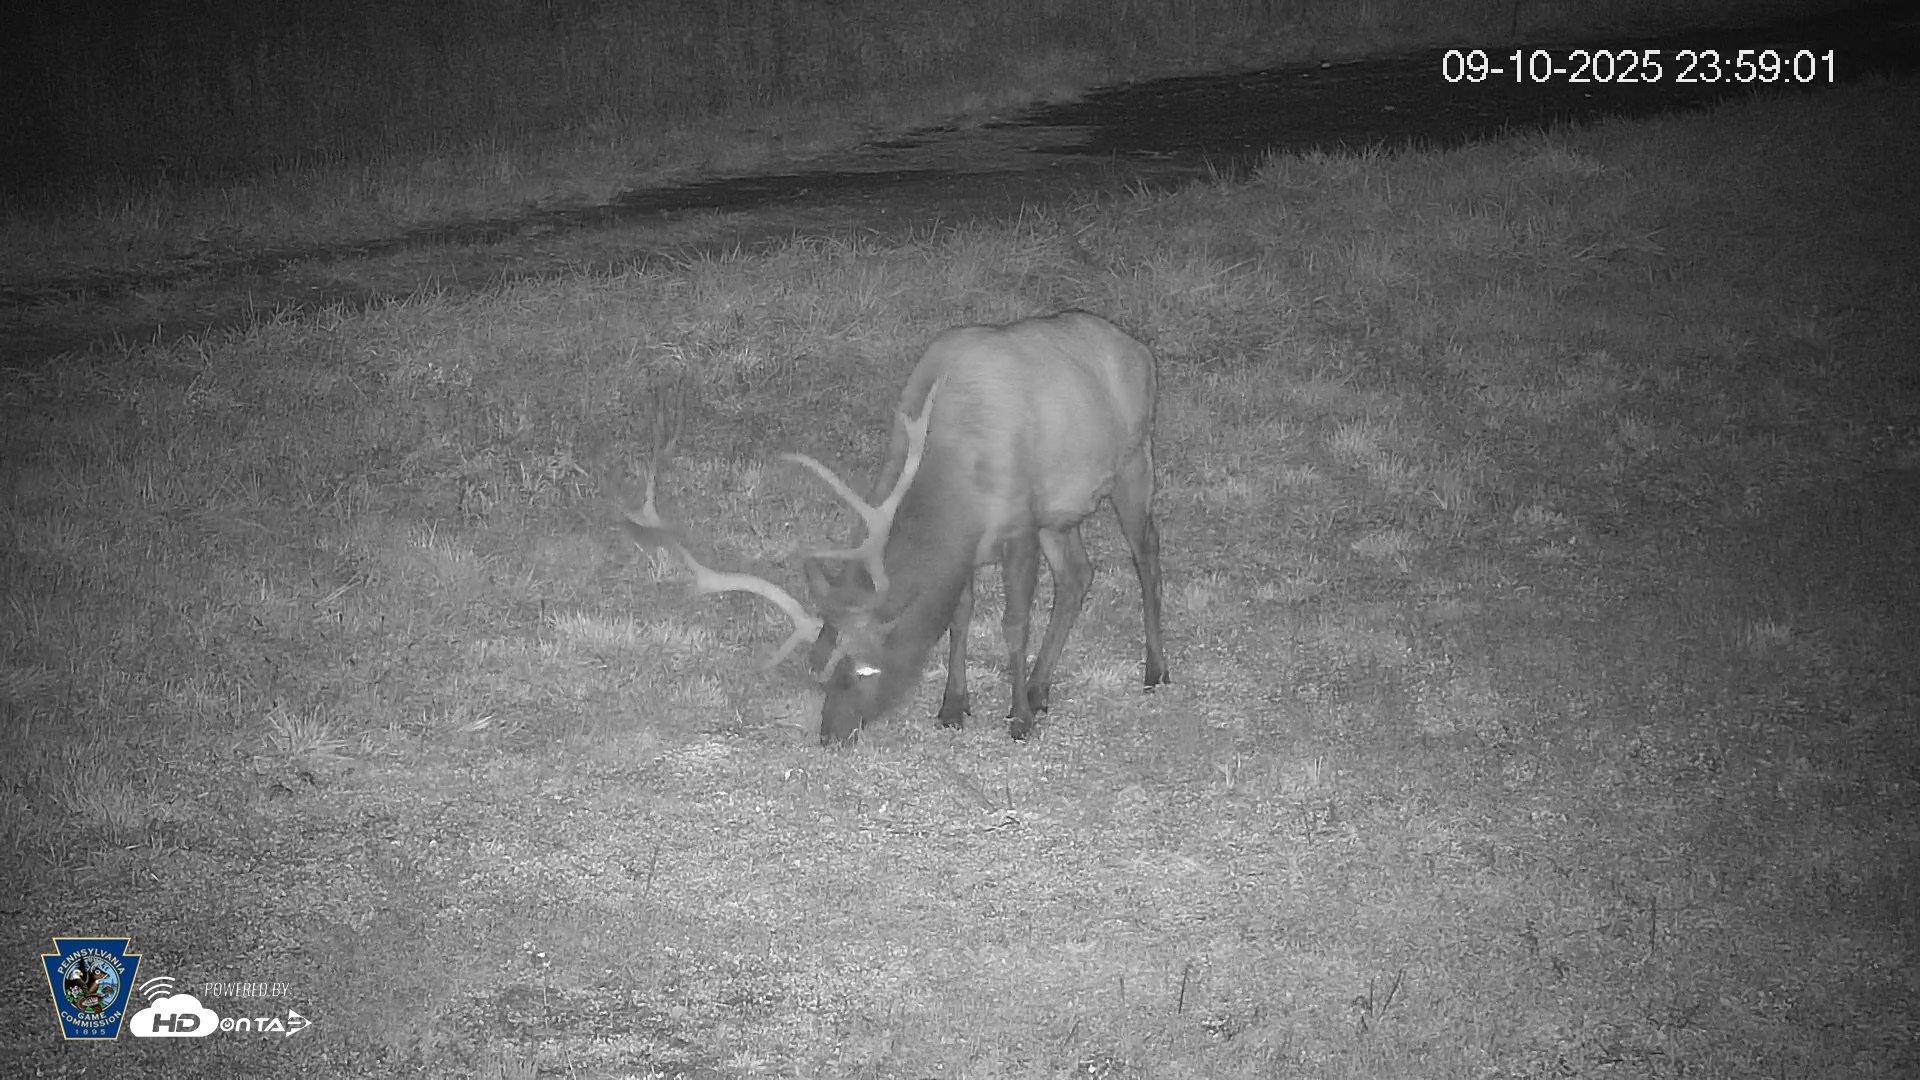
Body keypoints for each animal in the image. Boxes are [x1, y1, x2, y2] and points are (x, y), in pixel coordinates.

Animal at [623, 310, 1169, 745]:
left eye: (864, 671)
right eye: (818, 669)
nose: (831, 734)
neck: (954, 480)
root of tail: (1138, 347)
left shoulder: (1019, 524)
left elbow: (1014, 624)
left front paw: (1016, 719)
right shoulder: (972, 545)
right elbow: (959, 616)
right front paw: (953, 706)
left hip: (1134, 462)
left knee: (1146, 553)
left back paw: (1155, 670)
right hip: (1063, 511)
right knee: (1079, 575)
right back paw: (1041, 688)